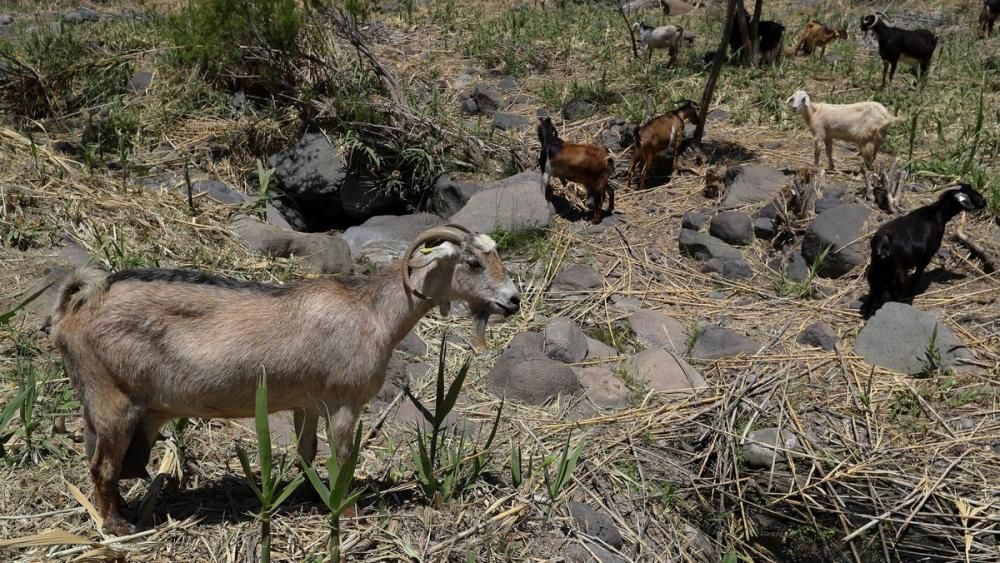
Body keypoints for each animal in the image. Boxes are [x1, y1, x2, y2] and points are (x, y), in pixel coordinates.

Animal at [52, 224, 524, 532]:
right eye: (472, 261)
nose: (513, 301)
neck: (372, 310)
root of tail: (76, 309)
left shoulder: (307, 404)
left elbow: (308, 453)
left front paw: (311, 494)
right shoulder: (345, 403)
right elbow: (343, 456)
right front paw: (345, 511)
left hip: (100, 406)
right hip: (113, 400)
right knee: (103, 466)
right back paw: (118, 528)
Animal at [864, 184, 988, 318]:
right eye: (971, 195)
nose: (984, 201)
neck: (936, 215)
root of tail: (883, 242)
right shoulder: (926, 258)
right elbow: (916, 277)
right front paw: (911, 293)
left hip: (876, 269)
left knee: (874, 291)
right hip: (898, 270)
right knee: (896, 288)